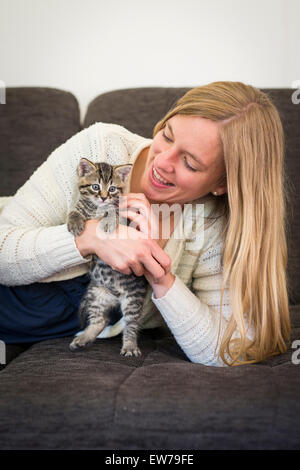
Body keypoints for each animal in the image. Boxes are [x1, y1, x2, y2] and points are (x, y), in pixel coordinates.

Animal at [67, 158, 148, 356]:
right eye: (95, 186)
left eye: (112, 189)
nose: (103, 197)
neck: (98, 207)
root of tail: (115, 295)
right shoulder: (81, 206)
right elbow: (74, 211)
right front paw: (74, 222)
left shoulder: (124, 214)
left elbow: (114, 212)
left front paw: (108, 221)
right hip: (97, 294)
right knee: (100, 321)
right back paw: (82, 338)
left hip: (133, 298)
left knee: (131, 324)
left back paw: (130, 346)